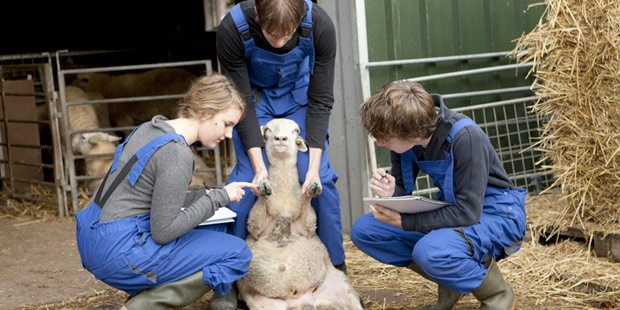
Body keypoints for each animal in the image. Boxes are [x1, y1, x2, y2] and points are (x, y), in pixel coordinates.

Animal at [237, 118, 364, 310]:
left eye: (295, 130)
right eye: (268, 130)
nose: (280, 139)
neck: (283, 209)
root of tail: (301, 301)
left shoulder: (307, 227)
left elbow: (307, 206)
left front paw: (310, 189)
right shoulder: (256, 228)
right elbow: (259, 207)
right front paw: (263, 187)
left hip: (341, 285)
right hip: (264, 304)